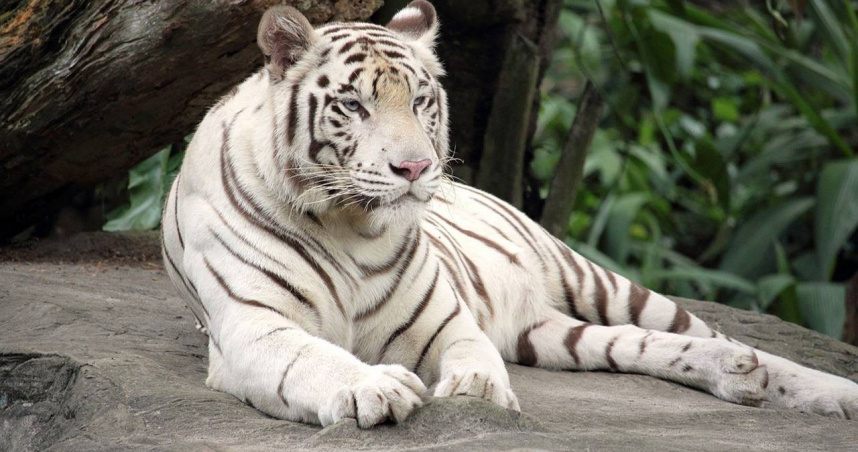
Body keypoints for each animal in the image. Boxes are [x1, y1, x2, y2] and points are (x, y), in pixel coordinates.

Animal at [161, 0, 858, 428]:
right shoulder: (254, 327)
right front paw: (374, 387)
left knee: (722, 336)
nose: (414, 169)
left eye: (420, 100)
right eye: (354, 106)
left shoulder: (443, 321)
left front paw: (477, 392)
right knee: (643, 346)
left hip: (597, 281)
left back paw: (816, 389)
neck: (351, 225)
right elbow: (314, 359)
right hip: (550, 333)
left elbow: (471, 354)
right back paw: (740, 379)